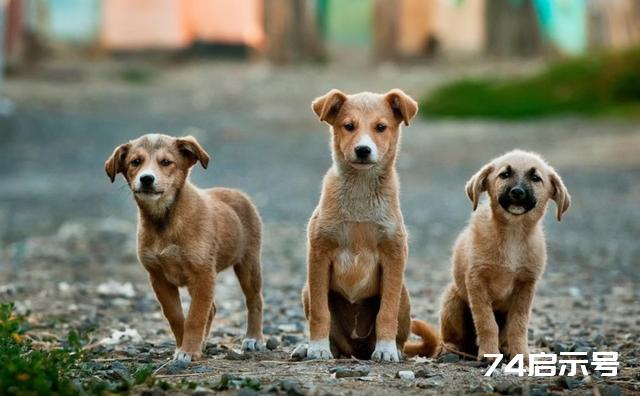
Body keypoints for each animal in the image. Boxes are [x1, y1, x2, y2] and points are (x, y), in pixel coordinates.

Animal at [105, 134, 264, 362]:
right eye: (135, 162)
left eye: (166, 162)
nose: (146, 179)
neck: (165, 220)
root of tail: (237, 193)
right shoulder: (159, 278)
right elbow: (176, 317)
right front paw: (184, 347)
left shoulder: (203, 274)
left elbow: (195, 316)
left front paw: (188, 350)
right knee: (212, 309)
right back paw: (204, 343)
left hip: (248, 264)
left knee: (254, 300)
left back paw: (254, 338)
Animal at [296, 89, 440, 362]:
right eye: (348, 126)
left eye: (381, 127)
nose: (363, 150)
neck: (361, 191)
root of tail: (357, 350)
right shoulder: (319, 253)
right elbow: (320, 313)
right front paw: (317, 348)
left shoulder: (393, 255)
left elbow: (386, 312)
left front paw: (385, 349)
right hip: (307, 291)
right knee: (335, 339)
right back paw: (309, 348)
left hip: (404, 295)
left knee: (398, 331)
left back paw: (394, 349)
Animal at [440, 151, 568, 362]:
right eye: (504, 174)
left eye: (535, 178)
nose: (517, 192)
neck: (513, 235)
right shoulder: (476, 281)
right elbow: (486, 322)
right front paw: (489, 353)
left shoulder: (526, 285)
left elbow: (519, 325)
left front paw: (520, 354)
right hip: (453, 300)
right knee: (452, 338)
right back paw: (450, 349)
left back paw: (506, 348)